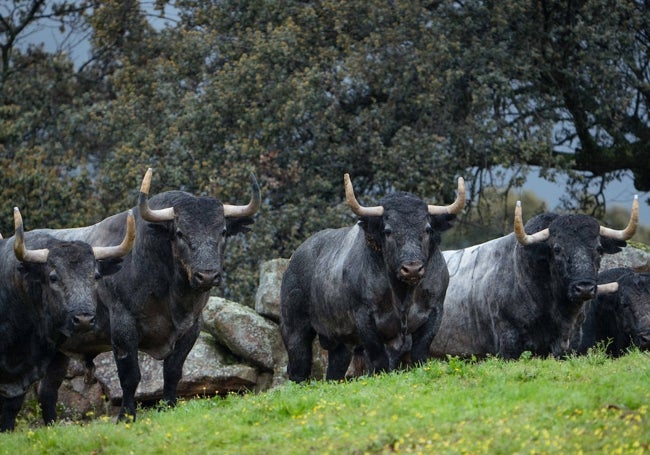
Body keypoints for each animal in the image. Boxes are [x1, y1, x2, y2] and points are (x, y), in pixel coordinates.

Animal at [31, 170, 258, 424]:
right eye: (180, 232)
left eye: (223, 232)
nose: (207, 275)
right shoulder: (123, 327)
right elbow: (130, 376)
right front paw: (126, 415)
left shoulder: (192, 327)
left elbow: (173, 371)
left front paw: (168, 405)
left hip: (58, 354)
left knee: (47, 390)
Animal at [280, 174, 464, 382]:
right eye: (388, 231)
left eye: (427, 229)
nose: (412, 269)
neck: (403, 293)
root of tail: (295, 258)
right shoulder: (365, 318)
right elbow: (379, 360)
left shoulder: (434, 312)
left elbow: (419, 354)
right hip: (295, 329)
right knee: (299, 367)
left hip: (340, 343)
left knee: (335, 370)